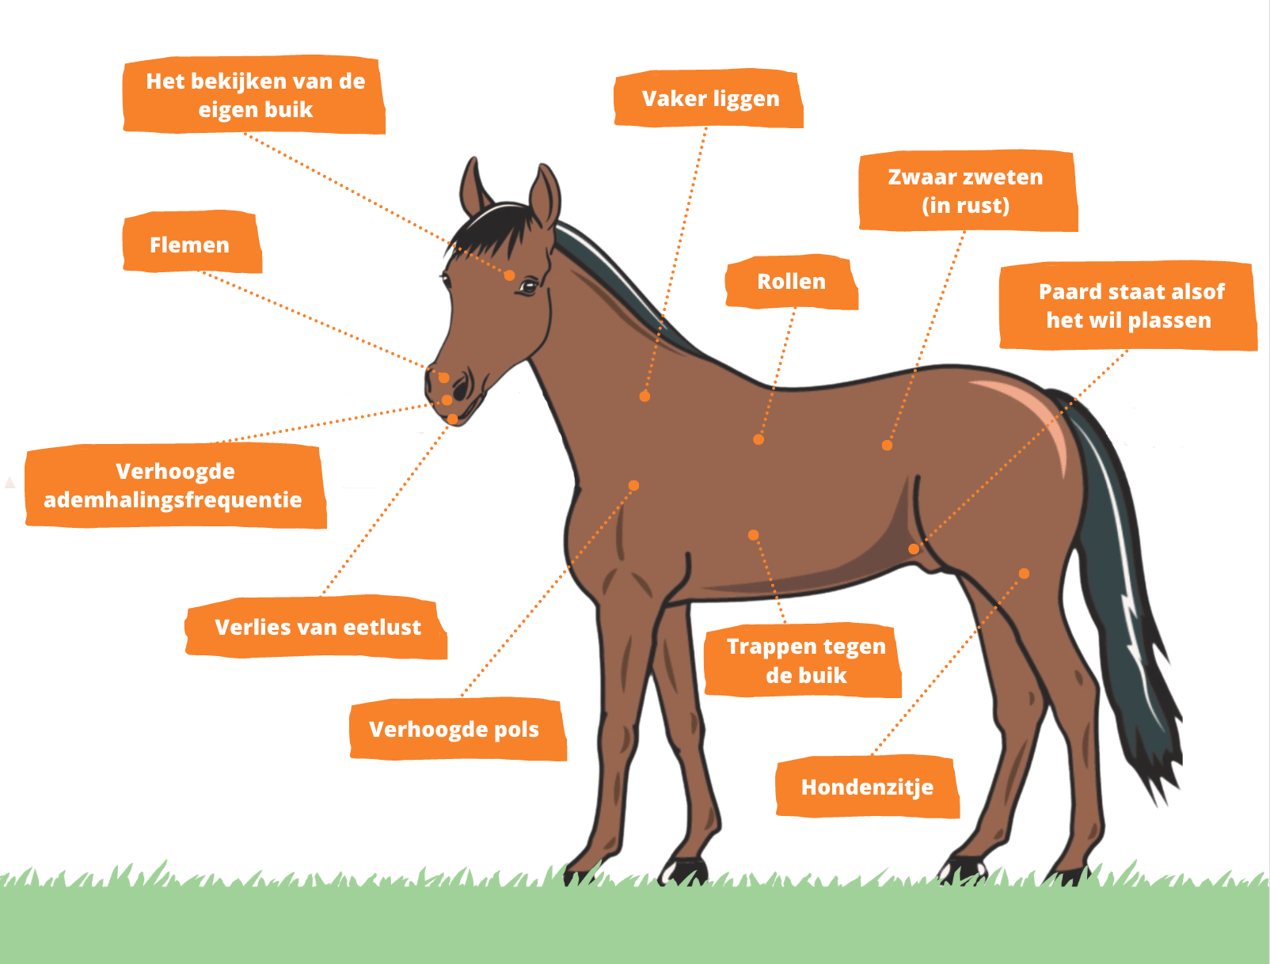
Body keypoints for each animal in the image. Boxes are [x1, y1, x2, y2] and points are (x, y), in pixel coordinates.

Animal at [424, 158, 1182, 887]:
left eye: (527, 285)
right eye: (450, 279)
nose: (446, 391)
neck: (643, 428)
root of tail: (1050, 405)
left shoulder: (627, 604)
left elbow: (619, 728)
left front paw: (590, 859)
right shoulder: (667, 606)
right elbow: (684, 722)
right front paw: (690, 854)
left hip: (1021, 586)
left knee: (1075, 694)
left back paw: (1072, 860)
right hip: (984, 586)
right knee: (1022, 703)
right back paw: (972, 855)